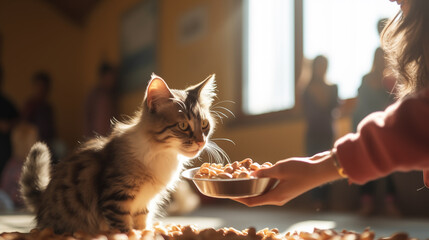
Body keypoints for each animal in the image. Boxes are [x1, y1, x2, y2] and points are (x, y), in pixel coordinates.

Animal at [18, 73, 217, 234]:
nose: (201, 142)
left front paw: (145, 232)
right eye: (183, 125)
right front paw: (129, 234)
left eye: (205, 124)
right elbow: (123, 226)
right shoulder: (116, 197)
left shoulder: (143, 204)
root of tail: (43, 198)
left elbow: (142, 223)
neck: (162, 154)